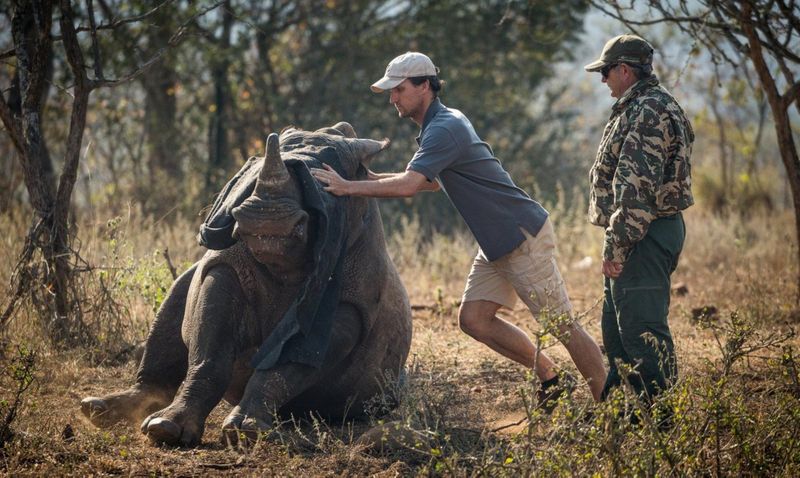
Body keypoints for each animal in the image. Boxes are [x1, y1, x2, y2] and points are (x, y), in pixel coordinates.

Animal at [81, 122, 412, 447]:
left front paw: (247, 433)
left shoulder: (349, 302)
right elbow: (209, 349)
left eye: (324, 189)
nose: (267, 222)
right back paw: (100, 410)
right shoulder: (226, 266)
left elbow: (287, 366)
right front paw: (165, 428)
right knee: (176, 294)